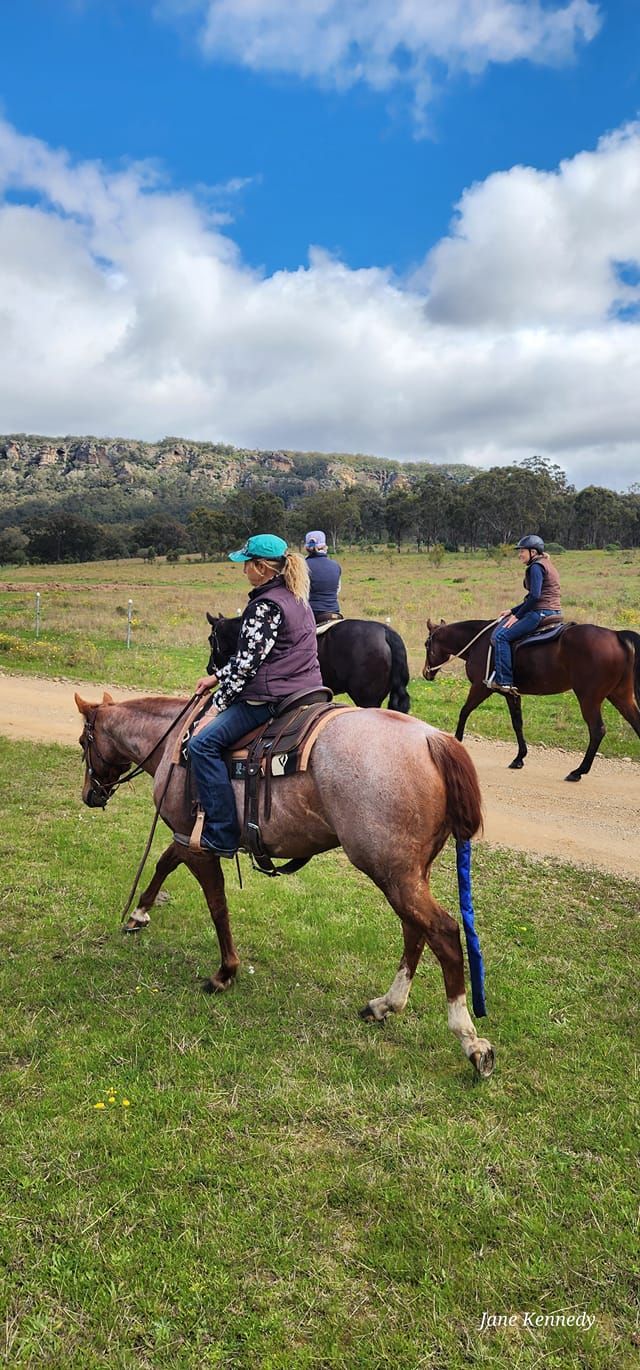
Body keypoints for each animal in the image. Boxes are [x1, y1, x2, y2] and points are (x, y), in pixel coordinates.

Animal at [76, 690, 496, 1074]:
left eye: (84, 742)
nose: (89, 795)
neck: (176, 742)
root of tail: (432, 739)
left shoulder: (198, 846)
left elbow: (216, 906)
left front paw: (225, 973)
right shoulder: (187, 838)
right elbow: (164, 863)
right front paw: (139, 914)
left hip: (393, 873)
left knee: (442, 932)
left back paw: (469, 1041)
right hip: (409, 874)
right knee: (415, 930)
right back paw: (384, 1005)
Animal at [422, 619, 640, 783]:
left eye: (426, 644)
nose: (426, 673)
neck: (479, 642)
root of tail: (616, 635)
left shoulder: (480, 687)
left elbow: (464, 711)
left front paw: (456, 744)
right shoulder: (511, 694)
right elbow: (517, 723)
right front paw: (519, 758)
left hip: (589, 698)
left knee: (597, 731)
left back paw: (578, 771)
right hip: (620, 696)